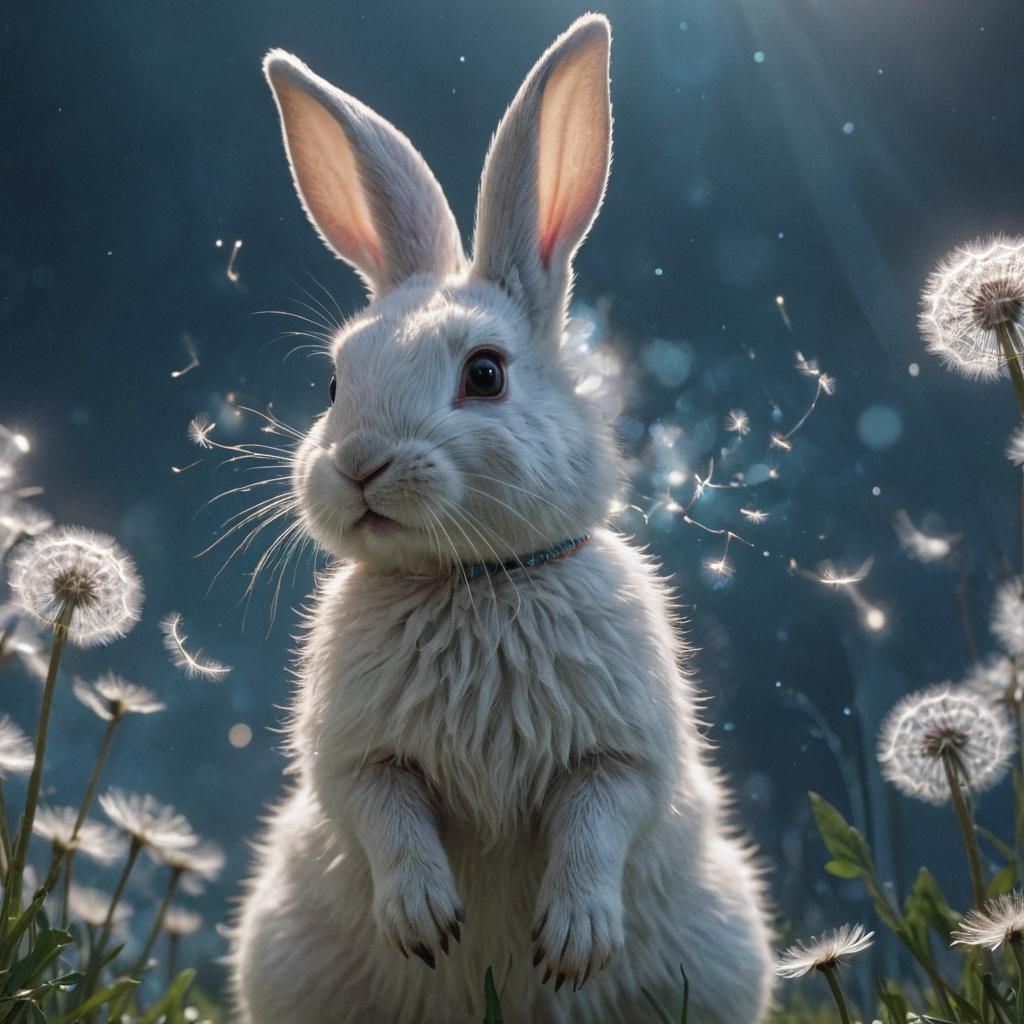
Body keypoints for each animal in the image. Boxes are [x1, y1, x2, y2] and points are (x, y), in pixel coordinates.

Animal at [231, 13, 774, 1024]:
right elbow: (385, 815)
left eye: (484, 374)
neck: (473, 581)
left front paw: (572, 942)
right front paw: (426, 922)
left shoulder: (619, 752)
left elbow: (600, 819)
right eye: (333, 382)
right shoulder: (360, 759)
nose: (358, 465)